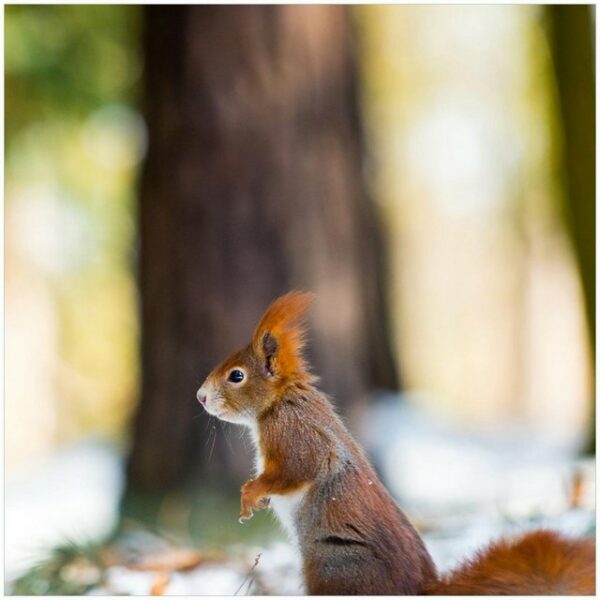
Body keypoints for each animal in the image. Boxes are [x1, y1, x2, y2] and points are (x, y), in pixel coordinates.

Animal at [197, 292, 596, 596]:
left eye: (236, 376)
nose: (200, 397)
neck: (279, 403)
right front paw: (257, 498)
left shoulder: (295, 435)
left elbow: (298, 470)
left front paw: (250, 493)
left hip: (334, 570)